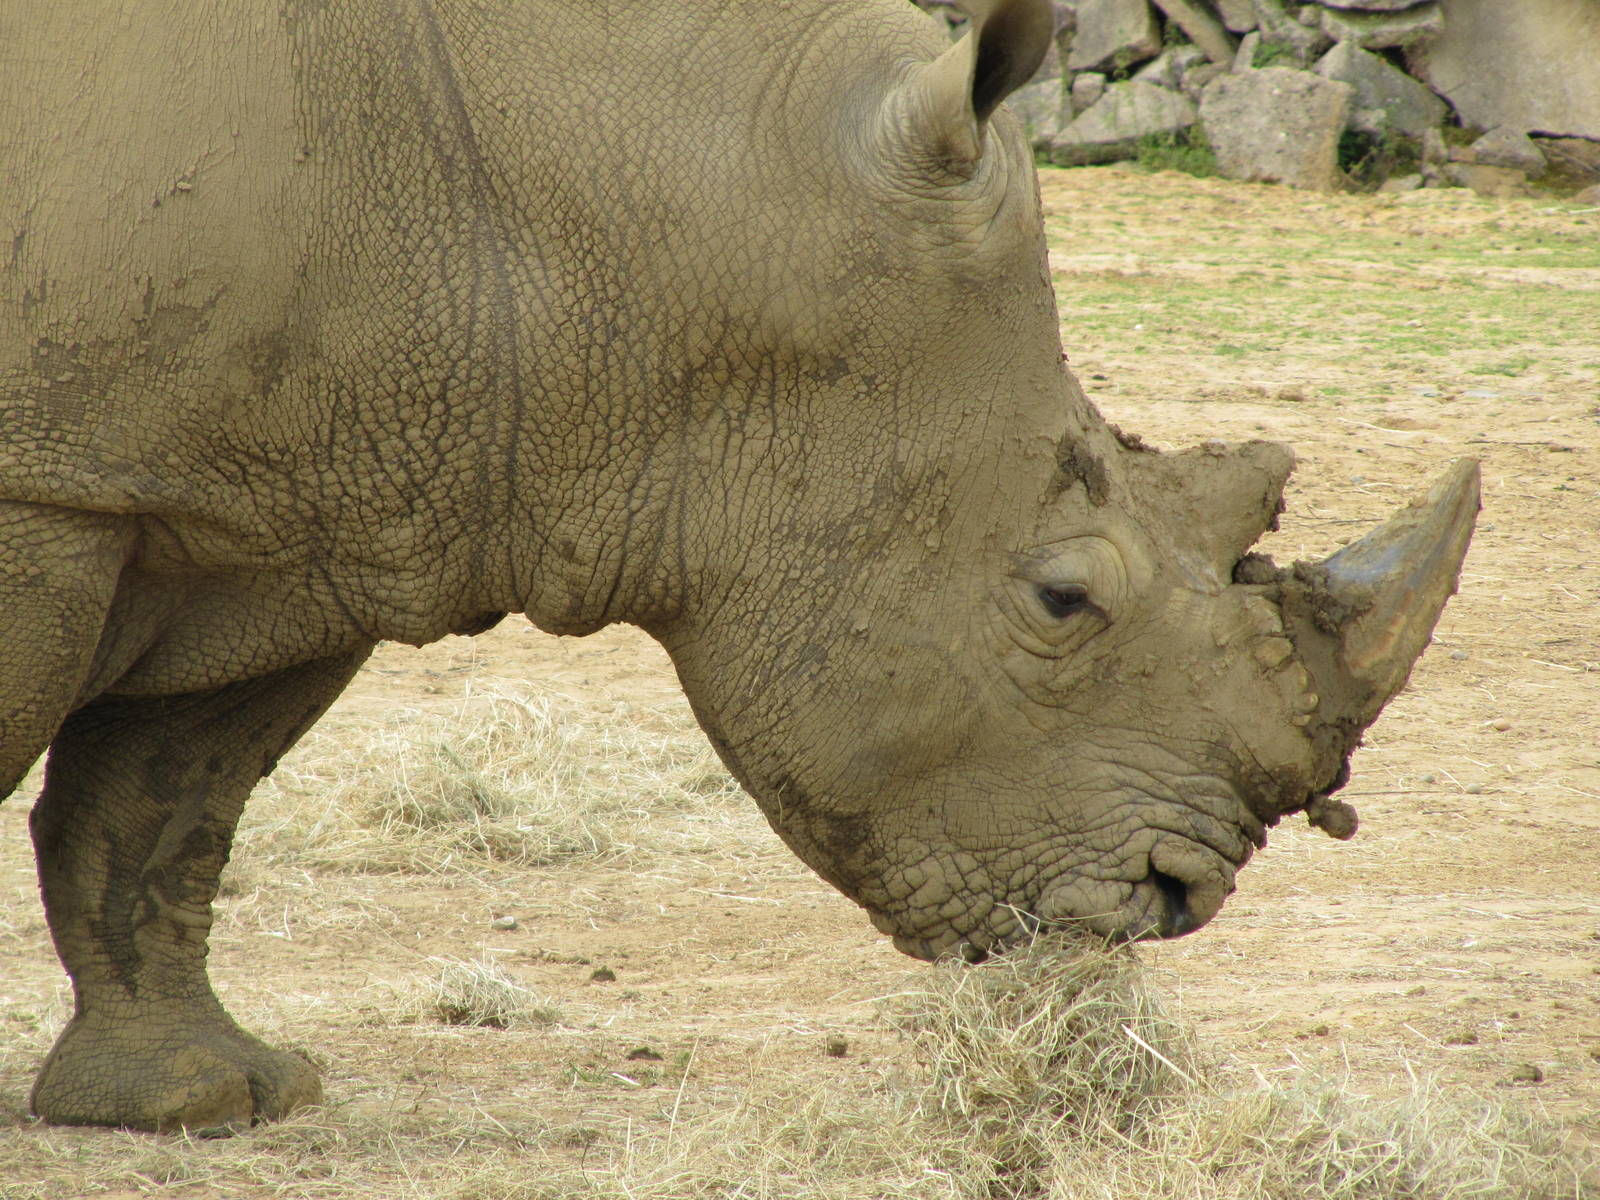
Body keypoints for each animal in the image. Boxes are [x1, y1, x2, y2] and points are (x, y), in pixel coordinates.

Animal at [0, 0, 1476, 1132]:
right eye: (1064, 600)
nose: (1176, 901)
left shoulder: (316, 499)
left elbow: (167, 801)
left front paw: (203, 1102)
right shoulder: (57, 484)